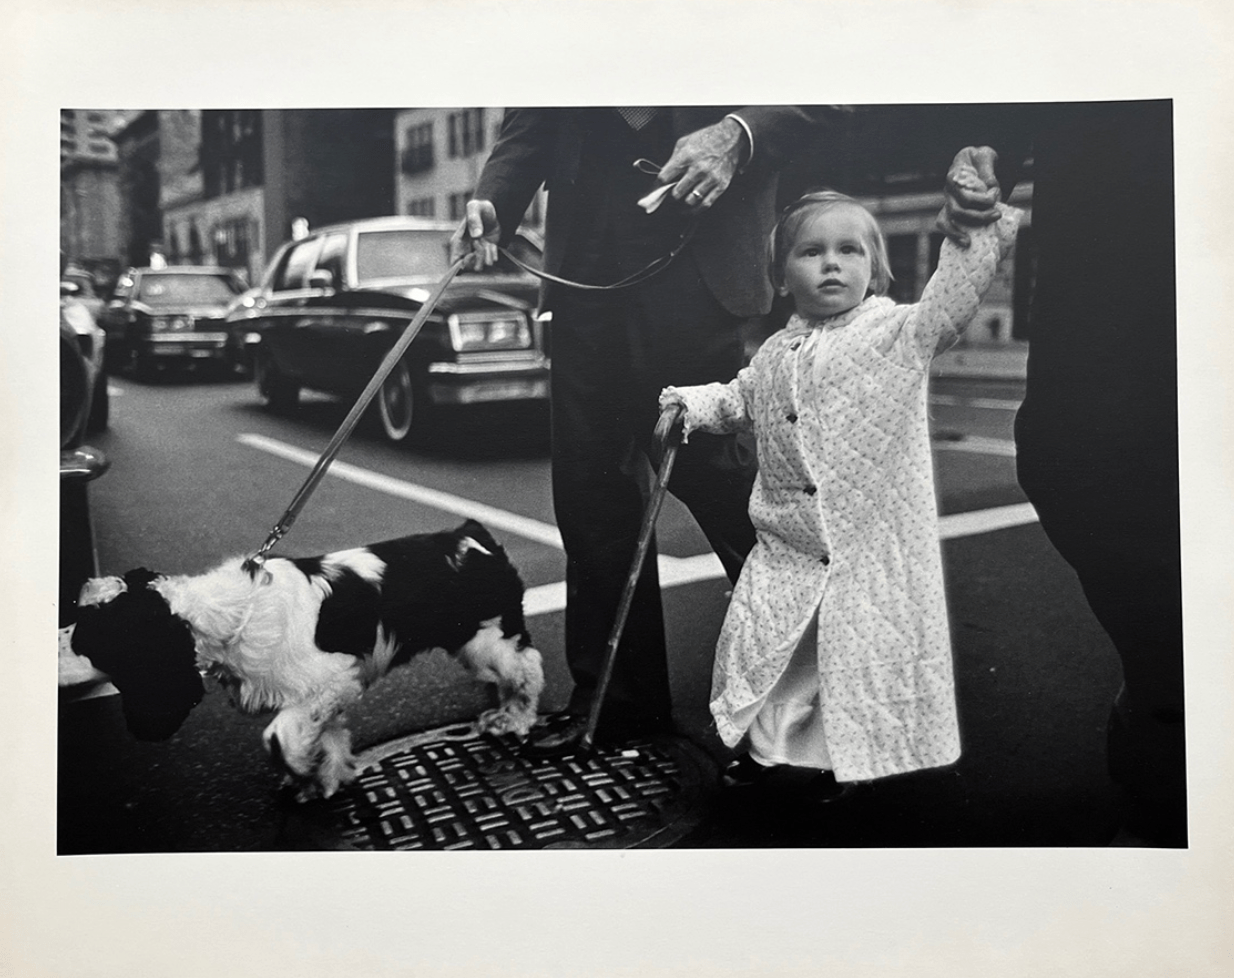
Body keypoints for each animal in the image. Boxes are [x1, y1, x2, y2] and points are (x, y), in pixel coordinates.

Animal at [68, 522, 545, 799]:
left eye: (92, 638)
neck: (227, 616)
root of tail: (472, 534)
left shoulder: (331, 682)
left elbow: (277, 737)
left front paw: (301, 770)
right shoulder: (317, 697)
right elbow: (325, 736)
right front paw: (325, 776)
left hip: (487, 640)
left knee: (527, 669)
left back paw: (514, 719)